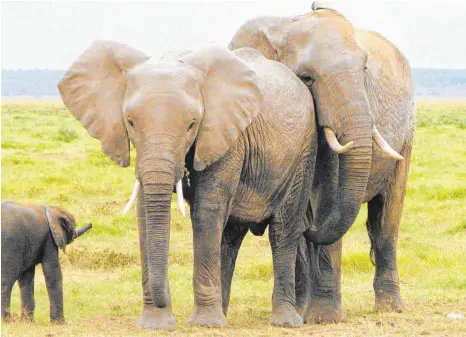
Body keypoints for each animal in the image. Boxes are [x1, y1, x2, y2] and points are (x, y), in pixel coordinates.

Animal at [58, 40, 316, 326]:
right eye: (131, 122)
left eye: (192, 124)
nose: (164, 305)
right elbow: (145, 211)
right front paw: (155, 325)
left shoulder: (225, 134)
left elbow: (207, 208)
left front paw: (204, 324)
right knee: (230, 235)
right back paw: (224, 314)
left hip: (304, 153)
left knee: (283, 229)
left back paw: (283, 321)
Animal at [231, 2, 416, 322]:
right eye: (307, 79)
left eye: (364, 71)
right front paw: (308, 314)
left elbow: (327, 198)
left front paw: (323, 318)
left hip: (407, 134)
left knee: (387, 217)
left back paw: (391, 308)